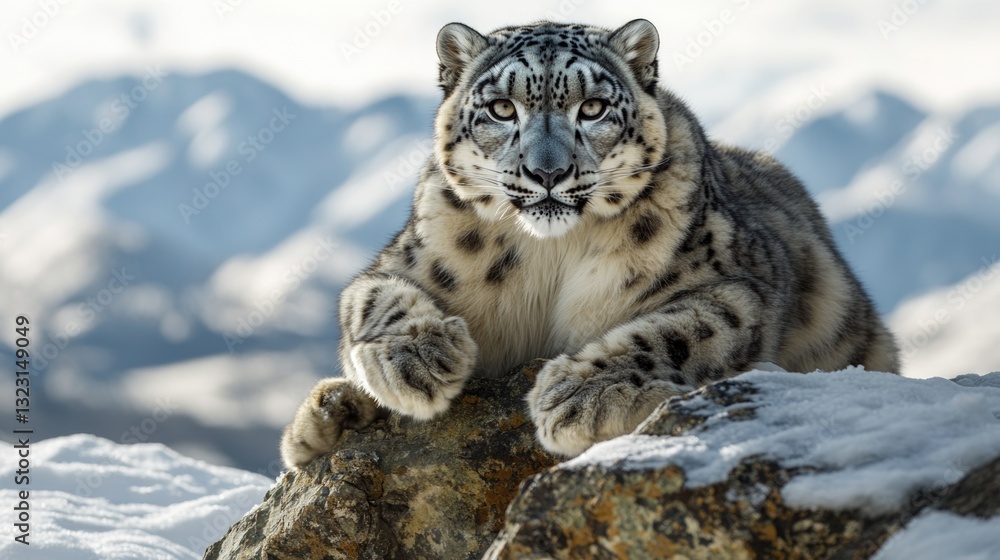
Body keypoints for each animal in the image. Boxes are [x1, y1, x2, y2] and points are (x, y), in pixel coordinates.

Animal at [280, 19, 900, 469]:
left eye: (593, 107)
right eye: (502, 108)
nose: (547, 172)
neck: (548, 255)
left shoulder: (736, 285)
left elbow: (682, 328)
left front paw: (580, 394)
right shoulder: (407, 256)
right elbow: (371, 296)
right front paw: (419, 358)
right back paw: (328, 414)